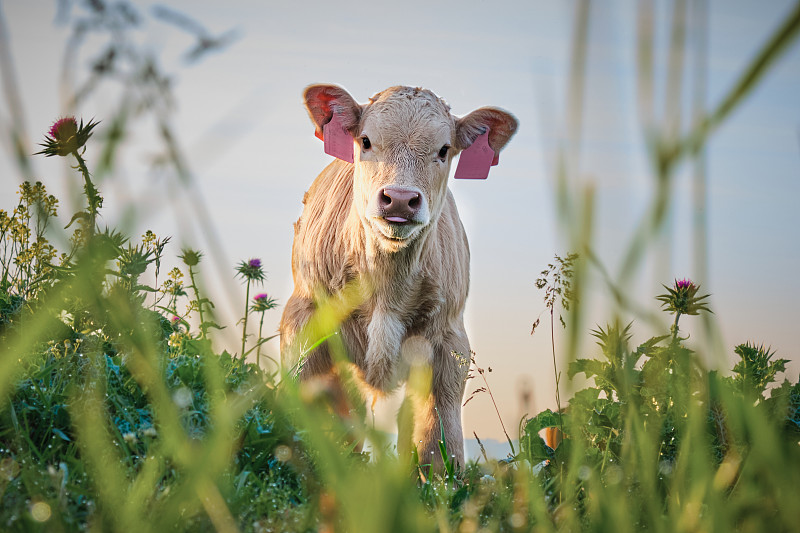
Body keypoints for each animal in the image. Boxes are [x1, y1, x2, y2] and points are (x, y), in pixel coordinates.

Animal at [282, 83, 520, 466]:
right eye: (365, 141)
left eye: (444, 150)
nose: (399, 198)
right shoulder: (304, 321)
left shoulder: (448, 342)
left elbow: (440, 443)